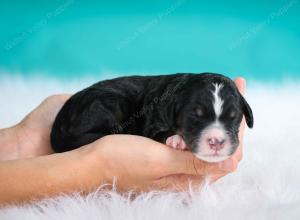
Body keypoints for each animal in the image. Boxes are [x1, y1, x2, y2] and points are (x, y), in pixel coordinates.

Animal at [51, 73, 253, 162]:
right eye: (194, 116)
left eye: (233, 117)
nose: (216, 142)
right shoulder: (152, 122)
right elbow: (159, 132)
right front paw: (176, 139)